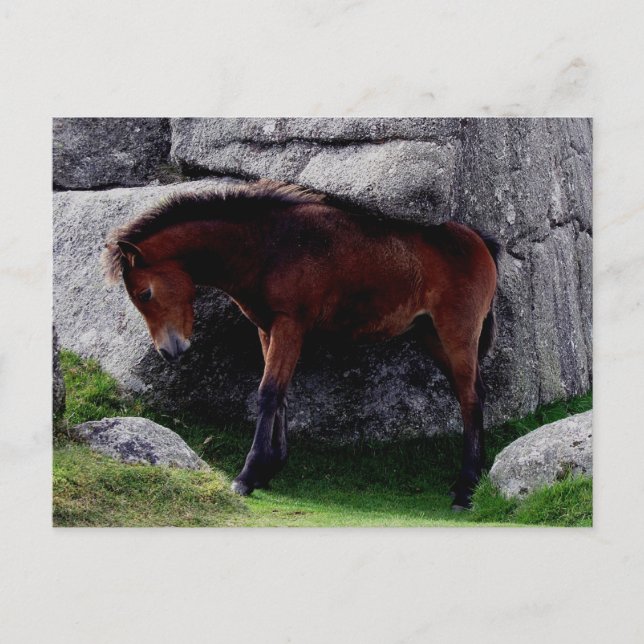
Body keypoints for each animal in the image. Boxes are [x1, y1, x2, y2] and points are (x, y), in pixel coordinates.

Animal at [103, 180, 500, 510]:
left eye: (145, 293)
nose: (170, 350)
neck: (268, 245)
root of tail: (479, 242)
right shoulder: (268, 329)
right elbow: (280, 394)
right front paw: (269, 467)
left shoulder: (289, 325)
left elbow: (268, 393)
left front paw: (247, 475)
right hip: (432, 335)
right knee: (472, 392)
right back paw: (469, 480)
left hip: (456, 333)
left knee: (469, 397)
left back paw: (466, 488)